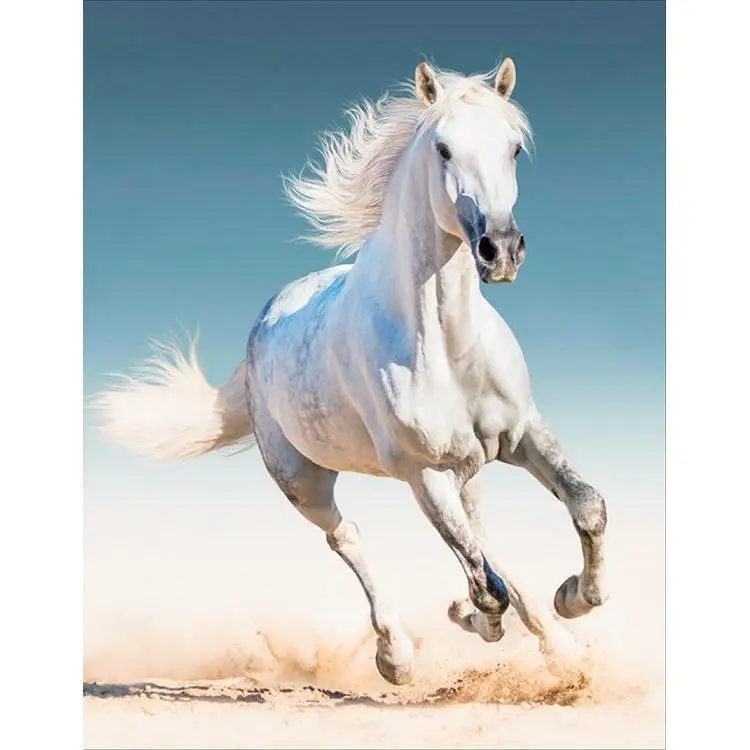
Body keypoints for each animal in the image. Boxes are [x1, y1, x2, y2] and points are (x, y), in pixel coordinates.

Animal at [92, 58, 609, 686]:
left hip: (469, 469)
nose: (500, 251)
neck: (447, 346)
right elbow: (484, 584)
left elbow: (585, 508)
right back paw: (397, 656)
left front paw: (573, 599)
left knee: (480, 538)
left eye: (514, 148)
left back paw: (560, 645)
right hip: (305, 483)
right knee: (349, 539)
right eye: (442, 148)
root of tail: (264, 323)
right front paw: (481, 619)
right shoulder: (423, 473)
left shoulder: (521, 433)